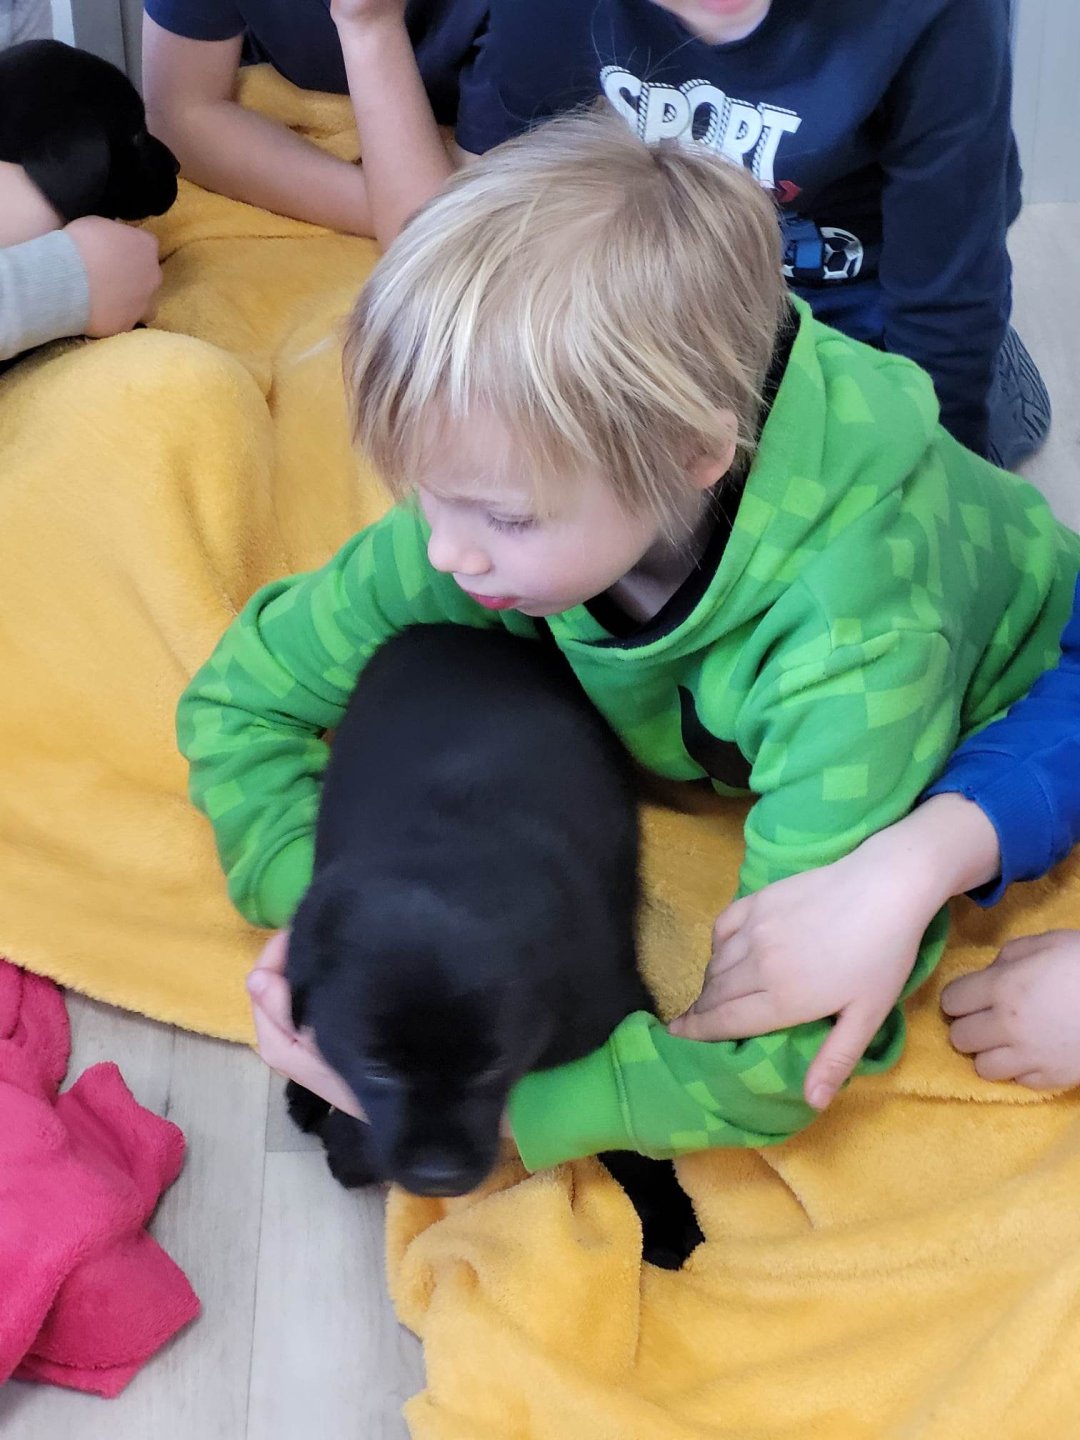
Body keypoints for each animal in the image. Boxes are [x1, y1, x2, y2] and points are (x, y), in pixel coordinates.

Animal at [285, 624, 703, 1269]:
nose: (438, 1176)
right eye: (376, 1066)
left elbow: (629, 1127)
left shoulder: (611, 1011)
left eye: (494, 1065)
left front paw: (665, 1215)